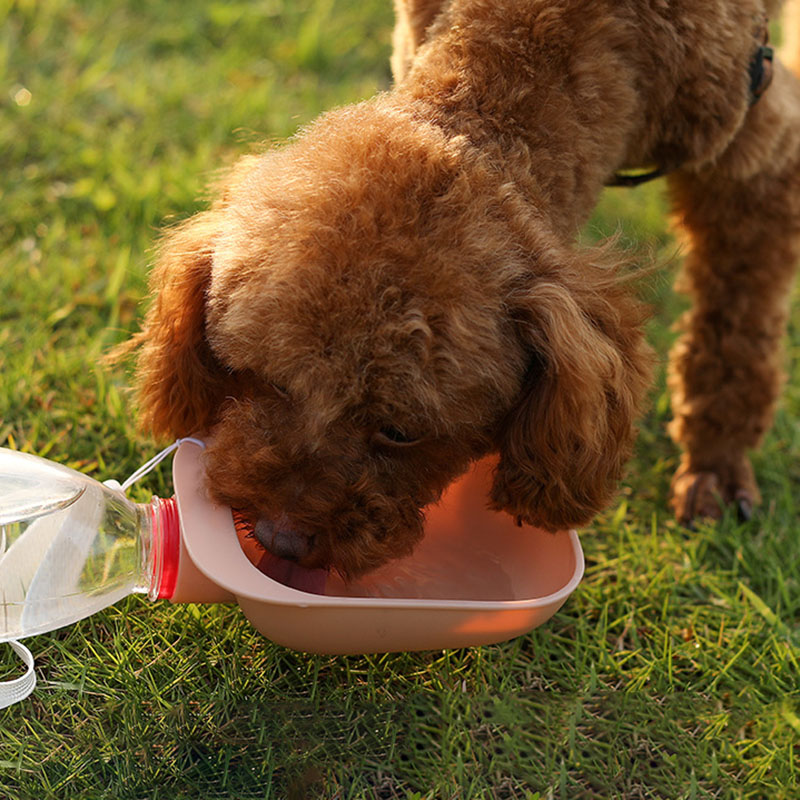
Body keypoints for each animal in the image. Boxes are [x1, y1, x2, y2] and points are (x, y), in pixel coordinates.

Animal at [128, 0, 800, 578]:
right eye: (264, 379)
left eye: (401, 432)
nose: (278, 537)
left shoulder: (756, 153)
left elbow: (735, 331)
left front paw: (716, 465)